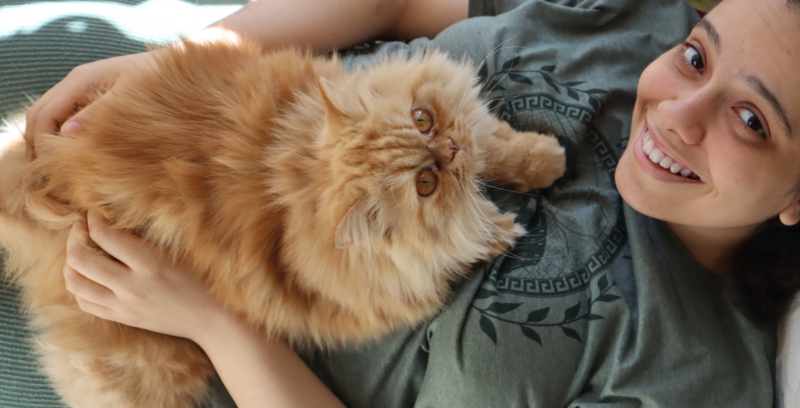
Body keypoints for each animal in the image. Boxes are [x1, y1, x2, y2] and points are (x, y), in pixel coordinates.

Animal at [0, 39, 564, 408]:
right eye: (425, 183)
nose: (451, 149)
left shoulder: (475, 133)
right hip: (156, 369)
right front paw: (501, 228)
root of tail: (37, 174)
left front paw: (546, 159)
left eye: (422, 118)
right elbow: (471, 229)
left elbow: (499, 145)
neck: (296, 169)